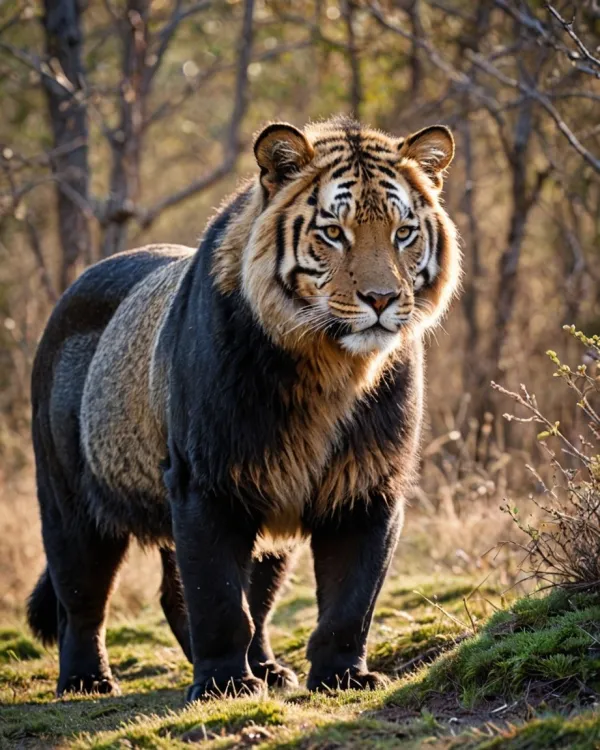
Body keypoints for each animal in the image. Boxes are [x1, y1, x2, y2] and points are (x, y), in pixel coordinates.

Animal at [28, 115, 461, 701]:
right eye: (333, 232)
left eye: (403, 232)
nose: (381, 299)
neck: (332, 369)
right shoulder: (204, 482)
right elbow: (218, 600)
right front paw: (222, 686)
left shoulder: (367, 486)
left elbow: (351, 600)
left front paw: (343, 677)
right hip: (68, 503)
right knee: (82, 600)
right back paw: (85, 682)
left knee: (204, 596)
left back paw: (269, 670)